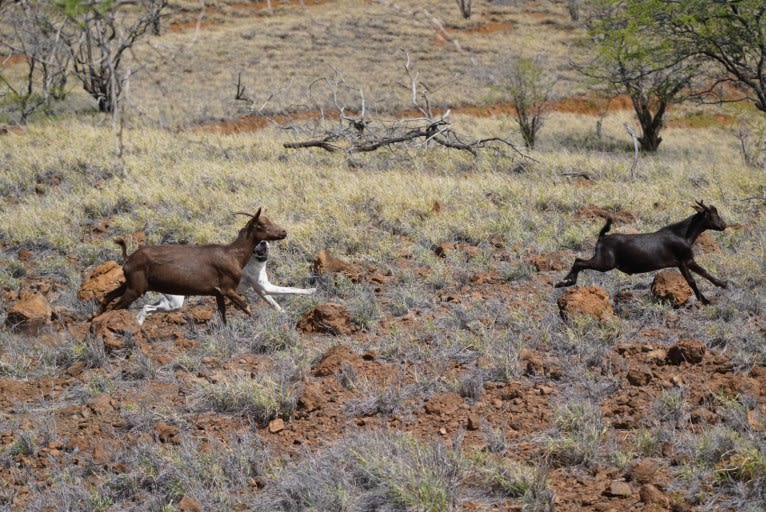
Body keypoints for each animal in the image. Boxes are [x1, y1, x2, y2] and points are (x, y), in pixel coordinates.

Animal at [99, 208, 284, 324]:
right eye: (260, 224)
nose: (283, 232)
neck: (232, 254)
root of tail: (129, 258)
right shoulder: (228, 289)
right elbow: (247, 308)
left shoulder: (218, 293)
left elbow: (223, 315)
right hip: (135, 289)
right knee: (115, 307)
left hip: (129, 285)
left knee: (107, 297)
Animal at [136, 240, 316, 324]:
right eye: (256, 242)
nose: (263, 242)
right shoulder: (265, 288)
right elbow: (293, 289)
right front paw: (311, 291)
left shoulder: (262, 291)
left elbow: (275, 304)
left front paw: (284, 314)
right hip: (174, 304)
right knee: (146, 308)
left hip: (168, 302)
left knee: (145, 308)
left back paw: (138, 325)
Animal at [556, 200, 728, 304]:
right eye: (713, 215)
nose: (724, 225)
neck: (682, 234)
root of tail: (602, 237)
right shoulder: (684, 260)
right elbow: (694, 278)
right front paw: (708, 298)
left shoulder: (683, 262)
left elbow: (700, 274)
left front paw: (719, 287)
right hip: (604, 263)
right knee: (579, 261)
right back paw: (564, 282)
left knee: (579, 261)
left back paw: (564, 281)